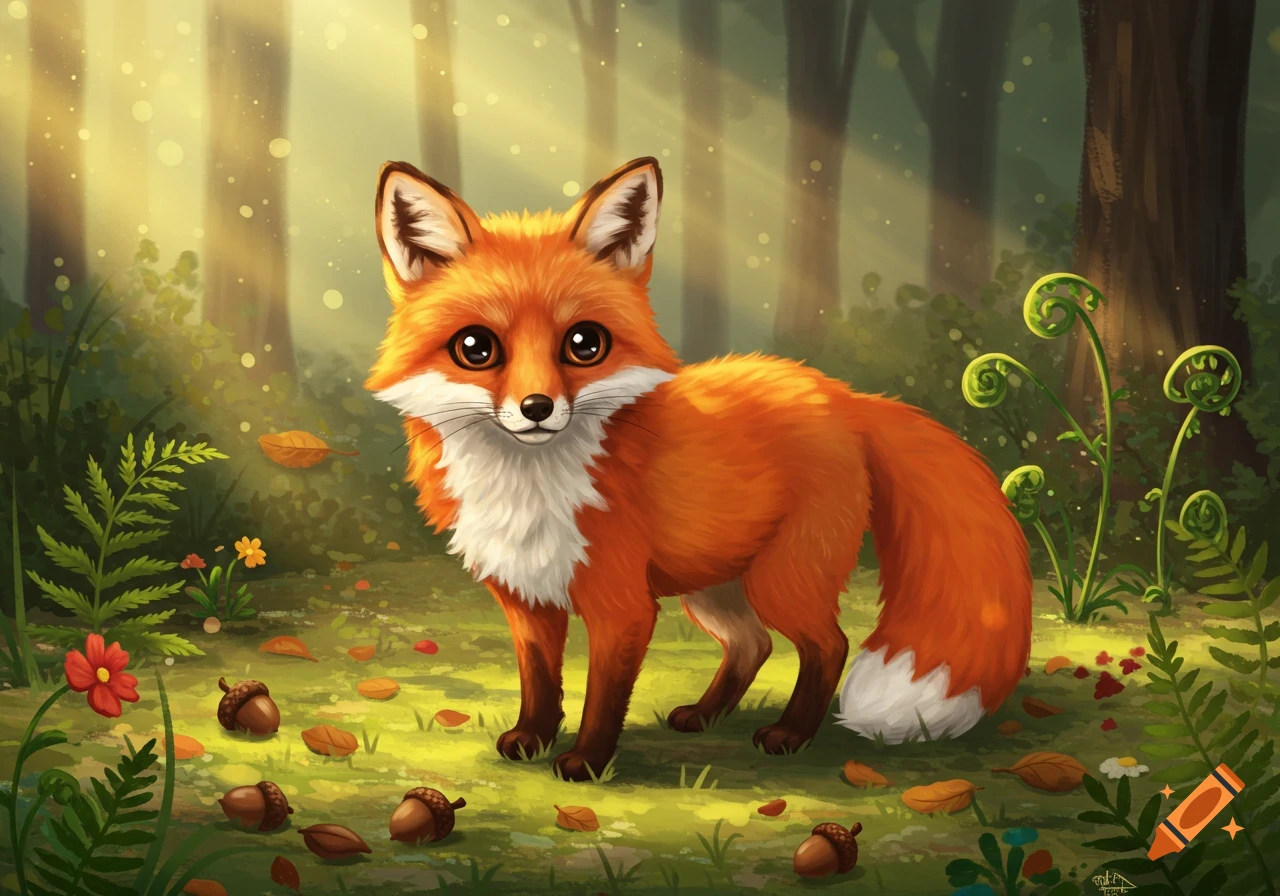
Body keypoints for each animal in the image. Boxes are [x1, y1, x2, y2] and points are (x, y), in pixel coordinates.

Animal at [366, 156, 1033, 782]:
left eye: (585, 344)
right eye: (476, 348)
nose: (536, 408)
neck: (529, 484)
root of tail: (841, 394)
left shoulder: (623, 605)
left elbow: (602, 697)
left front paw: (587, 763)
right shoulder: (527, 597)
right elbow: (540, 682)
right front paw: (532, 739)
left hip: (782, 579)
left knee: (828, 644)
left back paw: (791, 734)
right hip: (714, 587)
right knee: (751, 644)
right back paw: (705, 716)